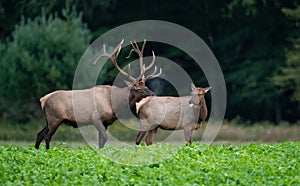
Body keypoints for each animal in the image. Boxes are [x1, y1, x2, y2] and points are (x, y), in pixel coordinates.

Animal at [34, 39, 162, 150]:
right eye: (139, 89)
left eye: (146, 86)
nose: (153, 93)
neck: (115, 104)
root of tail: (43, 100)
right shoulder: (96, 117)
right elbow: (104, 138)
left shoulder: (106, 122)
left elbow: (101, 141)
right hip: (54, 118)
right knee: (47, 136)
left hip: (48, 120)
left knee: (39, 134)